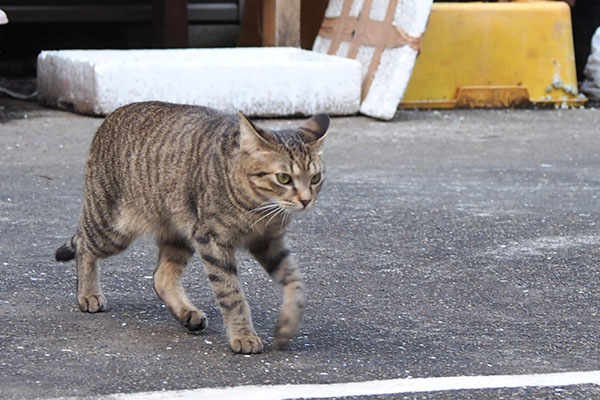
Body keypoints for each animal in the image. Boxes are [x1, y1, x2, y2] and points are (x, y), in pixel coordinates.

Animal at [55, 101, 328, 354]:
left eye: (315, 178)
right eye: (284, 178)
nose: (306, 200)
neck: (260, 210)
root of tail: (112, 115)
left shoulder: (269, 242)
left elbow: (295, 283)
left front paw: (287, 325)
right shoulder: (213, 240)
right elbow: (232, 294)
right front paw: (243, 335)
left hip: (180, 233)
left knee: (161, 277)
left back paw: (187, 313)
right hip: (112, 227)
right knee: (84, 245)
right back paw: (88, 293)